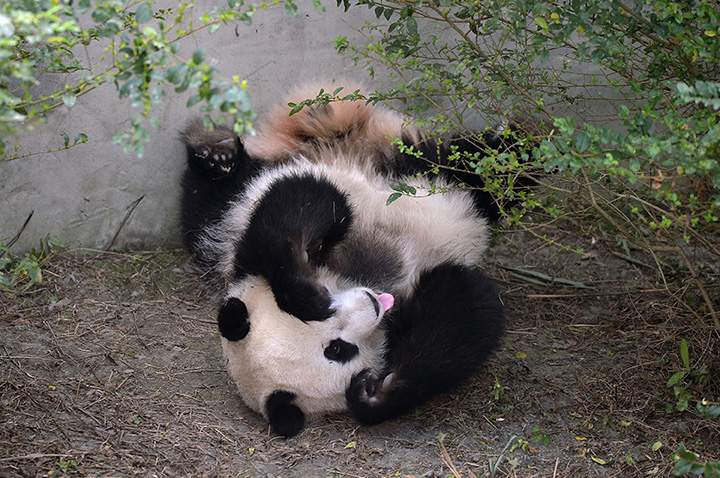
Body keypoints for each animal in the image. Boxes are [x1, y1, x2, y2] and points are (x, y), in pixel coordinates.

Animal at [180, 82, 508, 438]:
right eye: (338, 350)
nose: (371, 303)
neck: (362, 277)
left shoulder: (249, 254)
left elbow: (299, 201)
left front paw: (305, 296)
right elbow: (465, 305)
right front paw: (372, 395)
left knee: (473, 161)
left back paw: (216, 151)